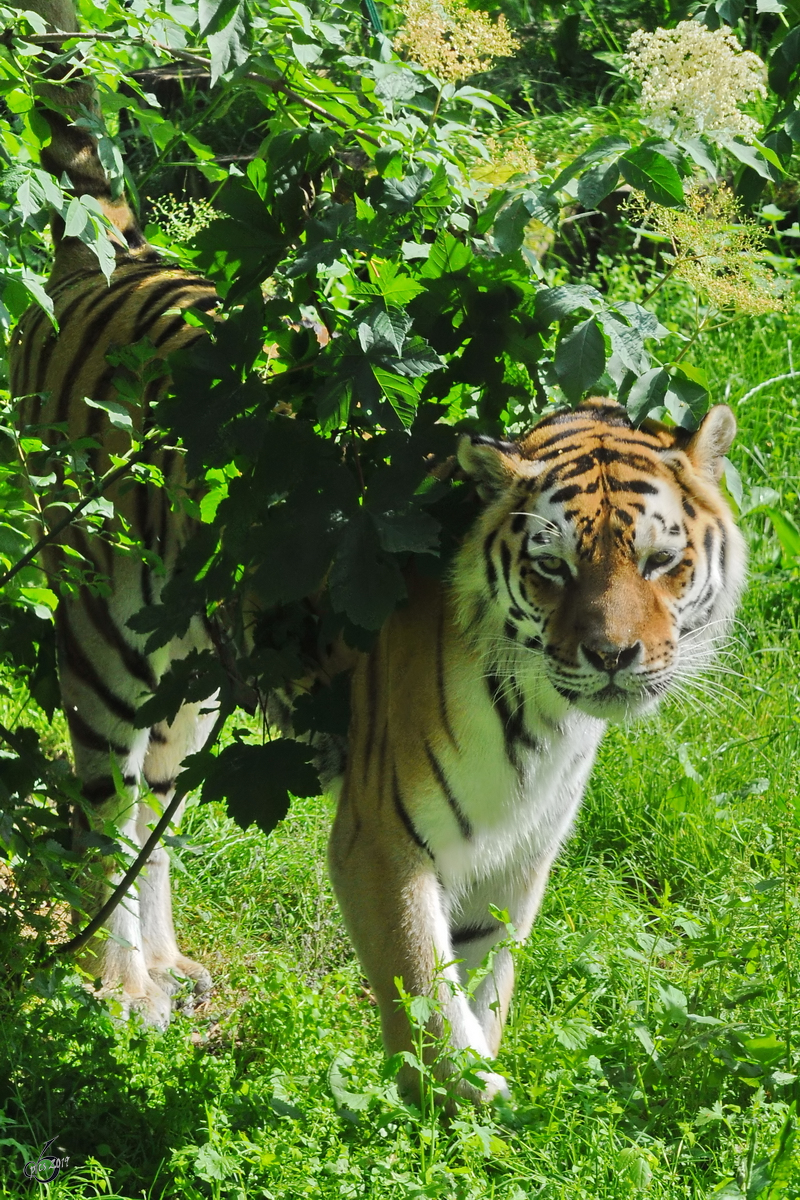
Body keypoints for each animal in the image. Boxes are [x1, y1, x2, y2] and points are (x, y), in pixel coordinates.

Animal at [6, 0, 748, 1104]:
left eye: (661, 564)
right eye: (553, 567)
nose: (614, 657)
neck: (546, 722)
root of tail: (116, 258)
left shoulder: (518, 860)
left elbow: (487, 988)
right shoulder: (382, 838)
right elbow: (427, 1005)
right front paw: (458, 1110)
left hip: (194, 677)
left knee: (154, 816)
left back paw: (171, 968)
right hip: (102, 640)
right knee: (101, 816)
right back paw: (124, 989)